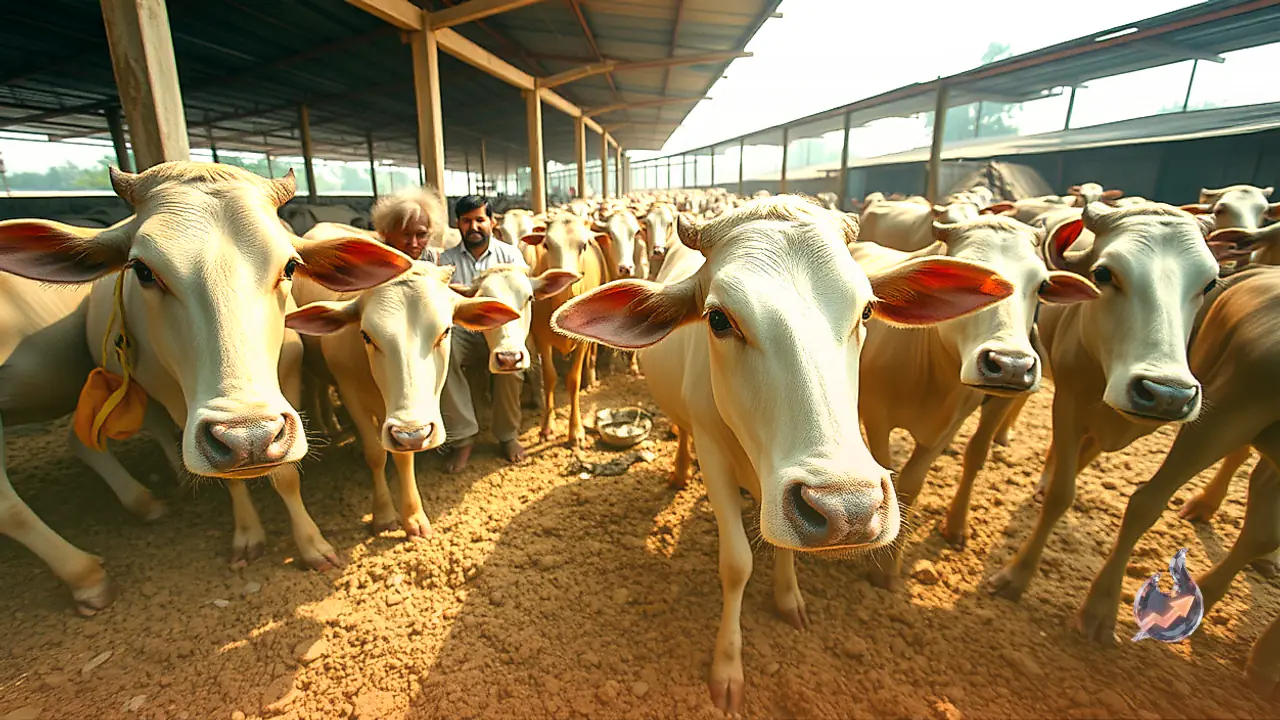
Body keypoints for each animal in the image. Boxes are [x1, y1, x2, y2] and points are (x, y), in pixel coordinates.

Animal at [0, 162, 413, 611]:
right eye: (142, 270)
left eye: (289, 267)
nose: (249, 438)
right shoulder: (178, 404)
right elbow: (228, 479)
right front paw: (248, 536)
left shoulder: (288, 380)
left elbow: (286, 475)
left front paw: (312, 546)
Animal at [523, 215, 609, 447]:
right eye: (546, 245)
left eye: (584, 245)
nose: (567, 276)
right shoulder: (542, 338)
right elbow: (550, 377)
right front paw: (546, 427)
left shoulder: (581, 340)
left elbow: (573, 380)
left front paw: (576, 431)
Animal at [551, 195, 1014, 713]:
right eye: (718, 319)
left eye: (867, 312)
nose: (850, 509)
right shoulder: (713, 452)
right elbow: (736, 564)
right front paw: (727, 667)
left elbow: (785, 546)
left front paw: (788, 597)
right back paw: (678, 472)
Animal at [850, 216, 1098, 585]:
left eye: (1041, 285)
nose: (1011, 365)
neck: (929, 373)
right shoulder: (876, 415)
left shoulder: (950, 425)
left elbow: (911, 485)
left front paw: (888, 565)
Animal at [982, 203, 1219, 602]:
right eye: (1104, 273)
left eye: (1209, 284)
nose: (1167, 394)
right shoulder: (1068, 403)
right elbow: (1061, 493)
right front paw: (1017, 575)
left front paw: (1102, 607)